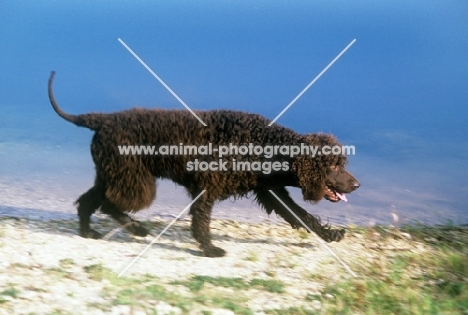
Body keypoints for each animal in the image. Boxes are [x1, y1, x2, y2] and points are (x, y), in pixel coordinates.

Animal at [47, 71, 360, 256]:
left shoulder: (272, 192)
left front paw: (330, 234)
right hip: (135, 180)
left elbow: (303, 216)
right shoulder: (207, 189)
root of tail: (101, 119)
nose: (357, 184)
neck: (265, 146)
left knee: (89, 201)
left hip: (114, 174)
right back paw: (135, 228)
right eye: (333, 166)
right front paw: (209, 248)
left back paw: (88, 231)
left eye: (341, 162)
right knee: (109, 204)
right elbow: (201, 220)